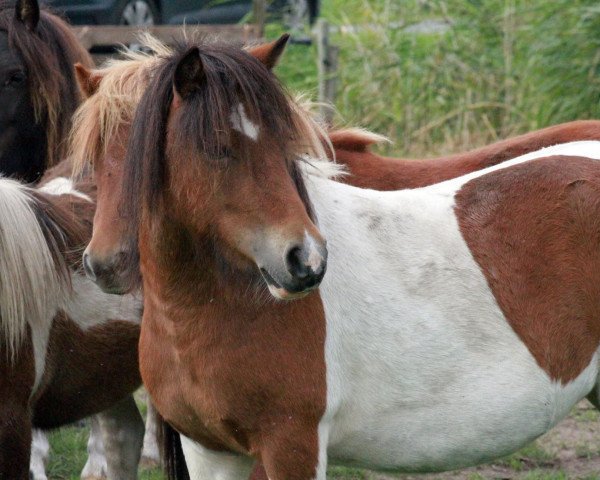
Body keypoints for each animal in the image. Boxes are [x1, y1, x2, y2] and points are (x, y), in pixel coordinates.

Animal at [72, 35, 600, 478]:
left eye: (284, 146)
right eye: (96, 153)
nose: (304, 260)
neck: (208, 309)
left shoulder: (291, 444)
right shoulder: (210, 452)